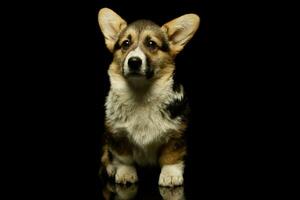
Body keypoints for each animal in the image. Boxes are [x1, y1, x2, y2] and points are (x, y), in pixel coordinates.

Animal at [98, 7, 199, 186]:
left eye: (152, 44)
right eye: (125, 44)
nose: (134, 61)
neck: (141, 93)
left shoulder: (176, 134)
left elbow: (171, 156)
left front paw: (170, 175)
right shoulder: (116, 135)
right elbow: (123, 158)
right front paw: (125, 173)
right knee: (106, 154)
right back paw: (110, 169)